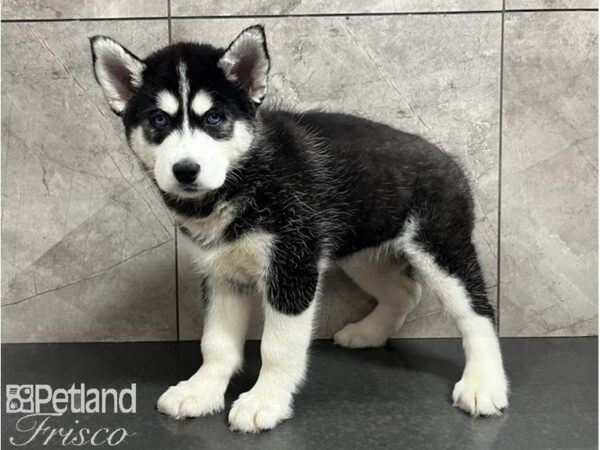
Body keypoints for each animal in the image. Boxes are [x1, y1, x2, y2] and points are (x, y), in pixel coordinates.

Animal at [91, 24, 508, 432]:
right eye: (159, 121)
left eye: (214, 119)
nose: (185, 170)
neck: (244, 177)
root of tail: (448, 159)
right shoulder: (224, 274)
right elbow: (216, 343)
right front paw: (201, 390)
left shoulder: (292, 269)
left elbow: (276, 347)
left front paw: (265, 400)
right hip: (361, 252)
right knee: (406, 291)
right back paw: (368, 332)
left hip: (440, 247)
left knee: (477, 312)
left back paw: (484, 384)